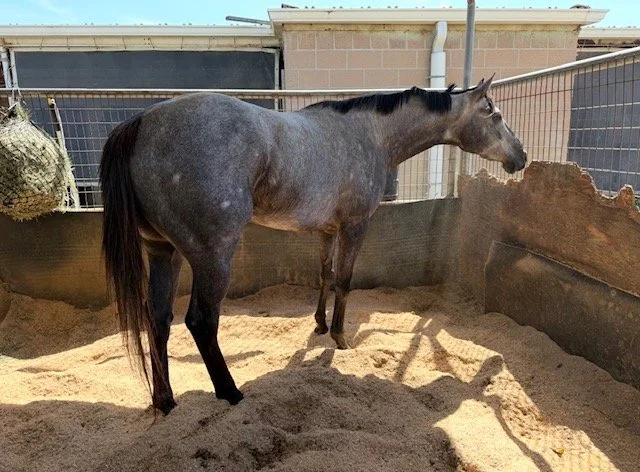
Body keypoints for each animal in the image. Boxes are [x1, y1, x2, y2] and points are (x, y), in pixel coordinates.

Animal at [100, 76, 527, 414]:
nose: (521, 156)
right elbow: (346, 280)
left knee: (157, 320)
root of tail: (142, 122)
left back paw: (165, 400)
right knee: (201, 322)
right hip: (212, 255)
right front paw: (340, 337)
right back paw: (231, 393)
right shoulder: (355, 226)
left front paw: (320, 324)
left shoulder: (326, 230)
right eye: (493, 113)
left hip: (162, 252)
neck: (370, 134)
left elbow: (325, 273)